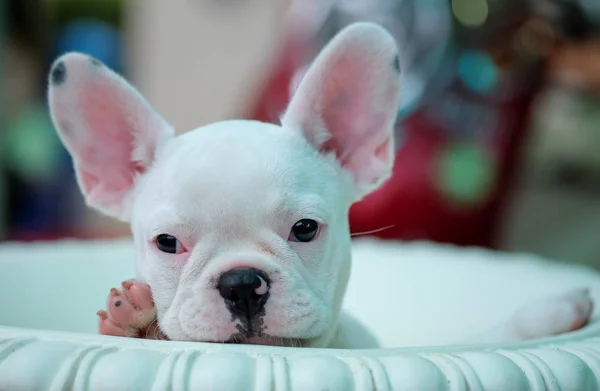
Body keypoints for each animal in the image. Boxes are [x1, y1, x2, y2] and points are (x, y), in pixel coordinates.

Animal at [48, 23, 596, 350]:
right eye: (167, 243)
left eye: (306, 229)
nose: (242, 283)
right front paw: (138, 327)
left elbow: (479, 339)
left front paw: (549, 315)